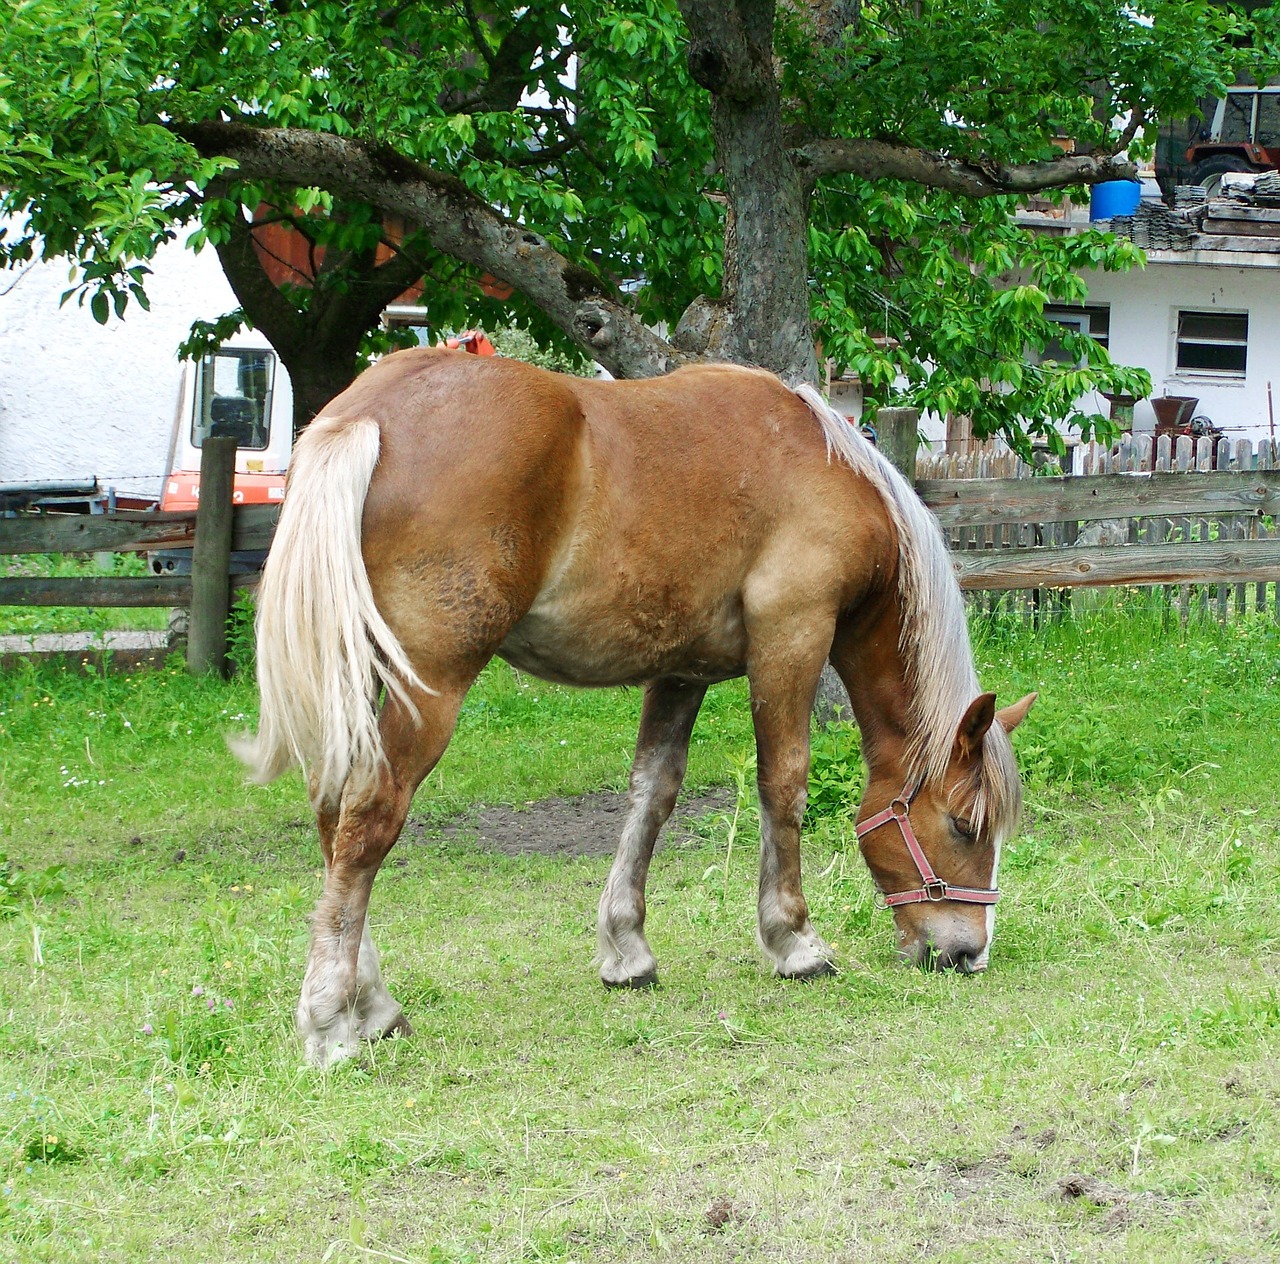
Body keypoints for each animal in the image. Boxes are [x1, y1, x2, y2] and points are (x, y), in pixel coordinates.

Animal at [235, 345, 1039, 1064]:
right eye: (965, 826)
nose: (970, 953)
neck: (826, 464)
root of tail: (367, 414)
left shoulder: (681, 669)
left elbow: (652, 793)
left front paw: (627, 950)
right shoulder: (794, 636)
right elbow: (784, 782)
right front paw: (794, 942)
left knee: (334, 812)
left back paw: (372, 1005)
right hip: (427, 684)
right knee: (369, 821)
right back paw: (334, 1025)